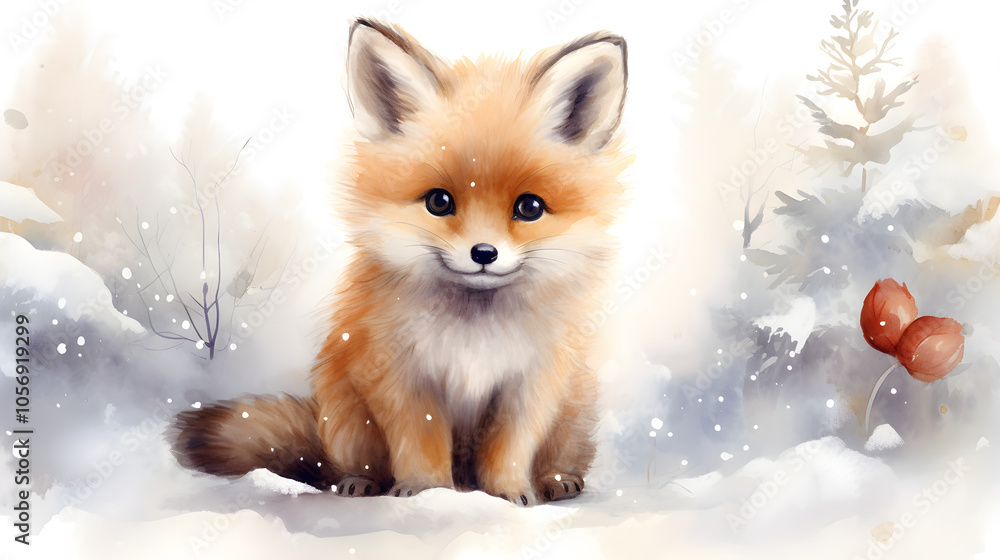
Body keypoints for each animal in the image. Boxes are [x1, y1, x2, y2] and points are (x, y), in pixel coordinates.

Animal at [170, 18, 631, 506]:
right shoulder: (400, 377)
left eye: (529, 207)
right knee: (346, 466)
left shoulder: (529, 385)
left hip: (573, 411)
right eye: (439, 201)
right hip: (345, 417)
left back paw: (555, 481)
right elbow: (421, 442)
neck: (474, 332)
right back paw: (363, 483)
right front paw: (428, 492)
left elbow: (509, 446)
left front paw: (508, 493)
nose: (484, 254)